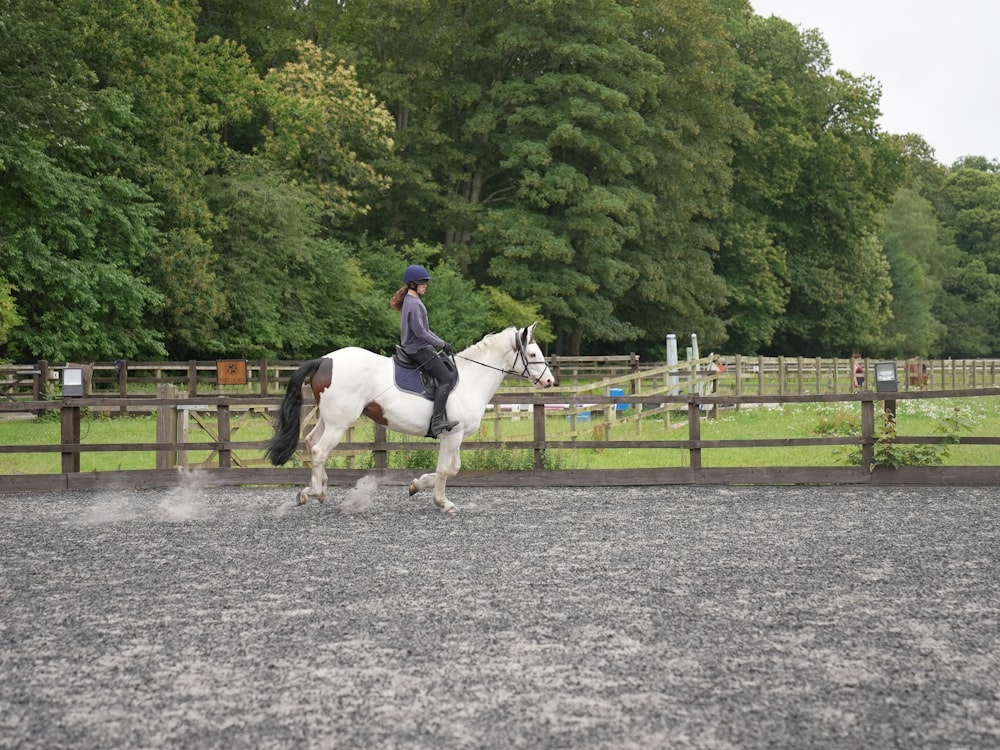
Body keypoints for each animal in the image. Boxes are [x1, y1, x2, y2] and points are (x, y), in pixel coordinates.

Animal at [266, 326, 556, 516]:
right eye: (532, 355)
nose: (550, 380)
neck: (470, 379)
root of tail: (325, 360)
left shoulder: (450, 436)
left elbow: (448, 468)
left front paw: (418, 486)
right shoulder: (454, 435)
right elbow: (448, 470)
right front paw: (442, 503)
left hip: (329, 419)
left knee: (310, 442)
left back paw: (319, 489)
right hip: (339, 422)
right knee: (318, 450)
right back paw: (312, 492)